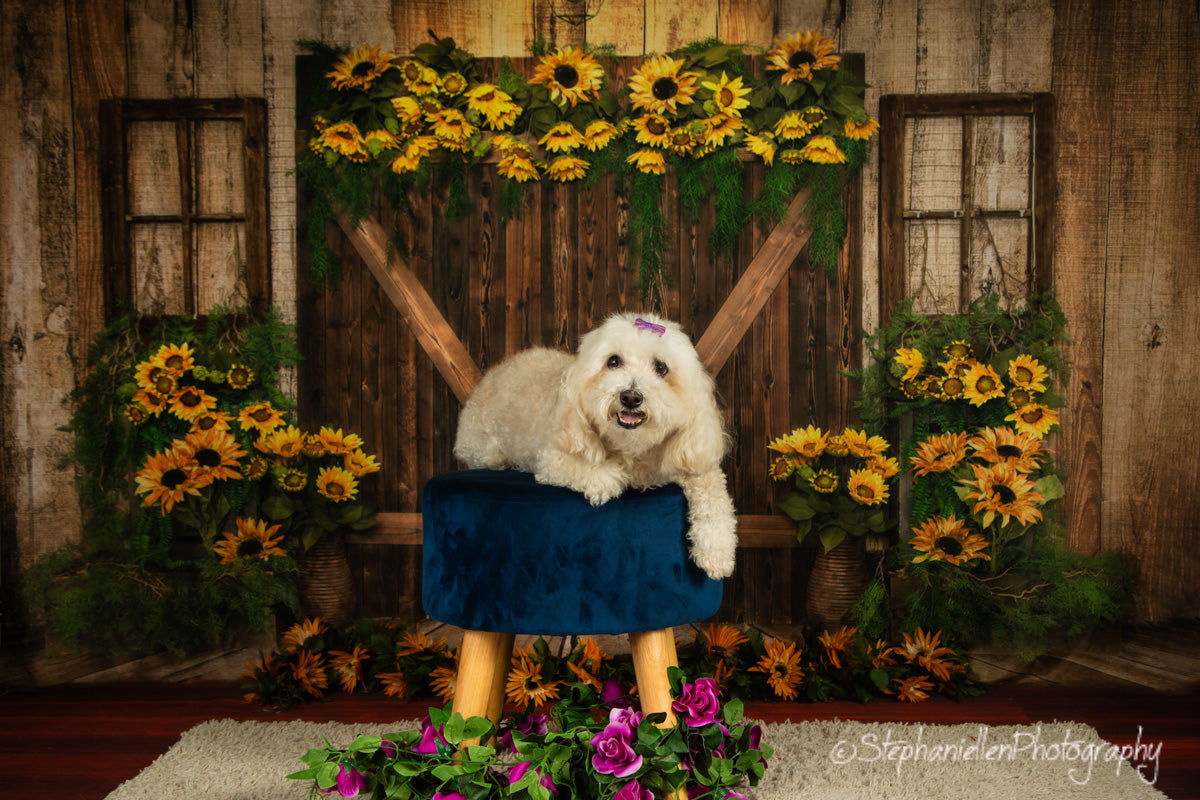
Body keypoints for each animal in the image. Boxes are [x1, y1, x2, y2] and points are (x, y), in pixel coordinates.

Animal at [453, 309, 739, 578]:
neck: (631, 448)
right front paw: (611, 477)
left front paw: (717, 551)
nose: (630, 396)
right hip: (482, 447)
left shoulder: (693, 458)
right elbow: (599, 473)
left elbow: (714, 494)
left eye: (661, 368)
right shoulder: (553, 457)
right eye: (613, 361)